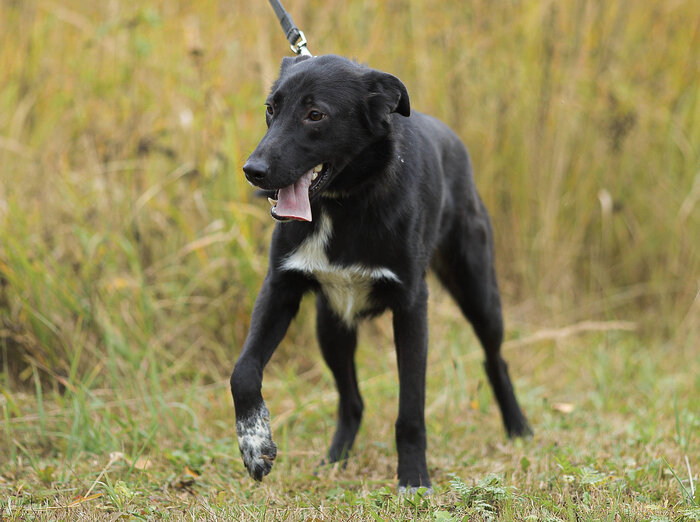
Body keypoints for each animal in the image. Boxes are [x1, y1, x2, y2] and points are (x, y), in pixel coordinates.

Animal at [230, 54, 532, 490]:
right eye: (271, 108)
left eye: (315, 114)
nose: (253, 170)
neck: (342, 203)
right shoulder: (279, 289)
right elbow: (243, 371)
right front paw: (255, 444)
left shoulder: (411, 307)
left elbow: (411, 408)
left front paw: (413, 478)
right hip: (331, 325)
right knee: (352, 401)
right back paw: (335, 459)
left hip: (479, 293)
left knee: (496, 360)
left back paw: (518, 428)